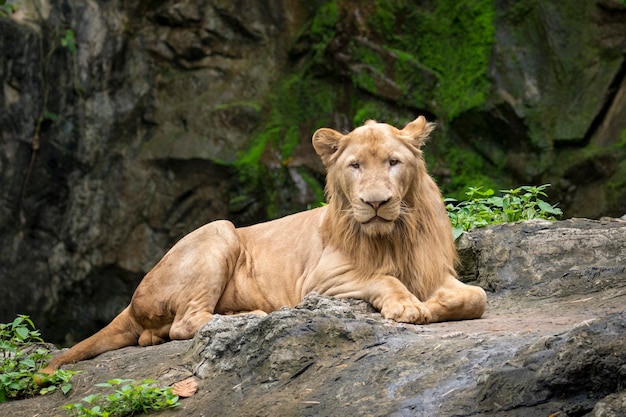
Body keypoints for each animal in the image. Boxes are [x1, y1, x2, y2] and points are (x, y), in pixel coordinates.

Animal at [40, 114, 488, 374]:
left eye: (393, 162)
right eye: (355, 166)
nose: (375, 203)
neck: (393, 235)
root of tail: (131, 301)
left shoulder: (434, 270)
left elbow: (475, 297)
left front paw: (433, 304)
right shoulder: (320, 282)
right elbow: (383, 279)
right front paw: (410, 306)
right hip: (220, 229)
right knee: (186, 323)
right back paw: (248, 316)